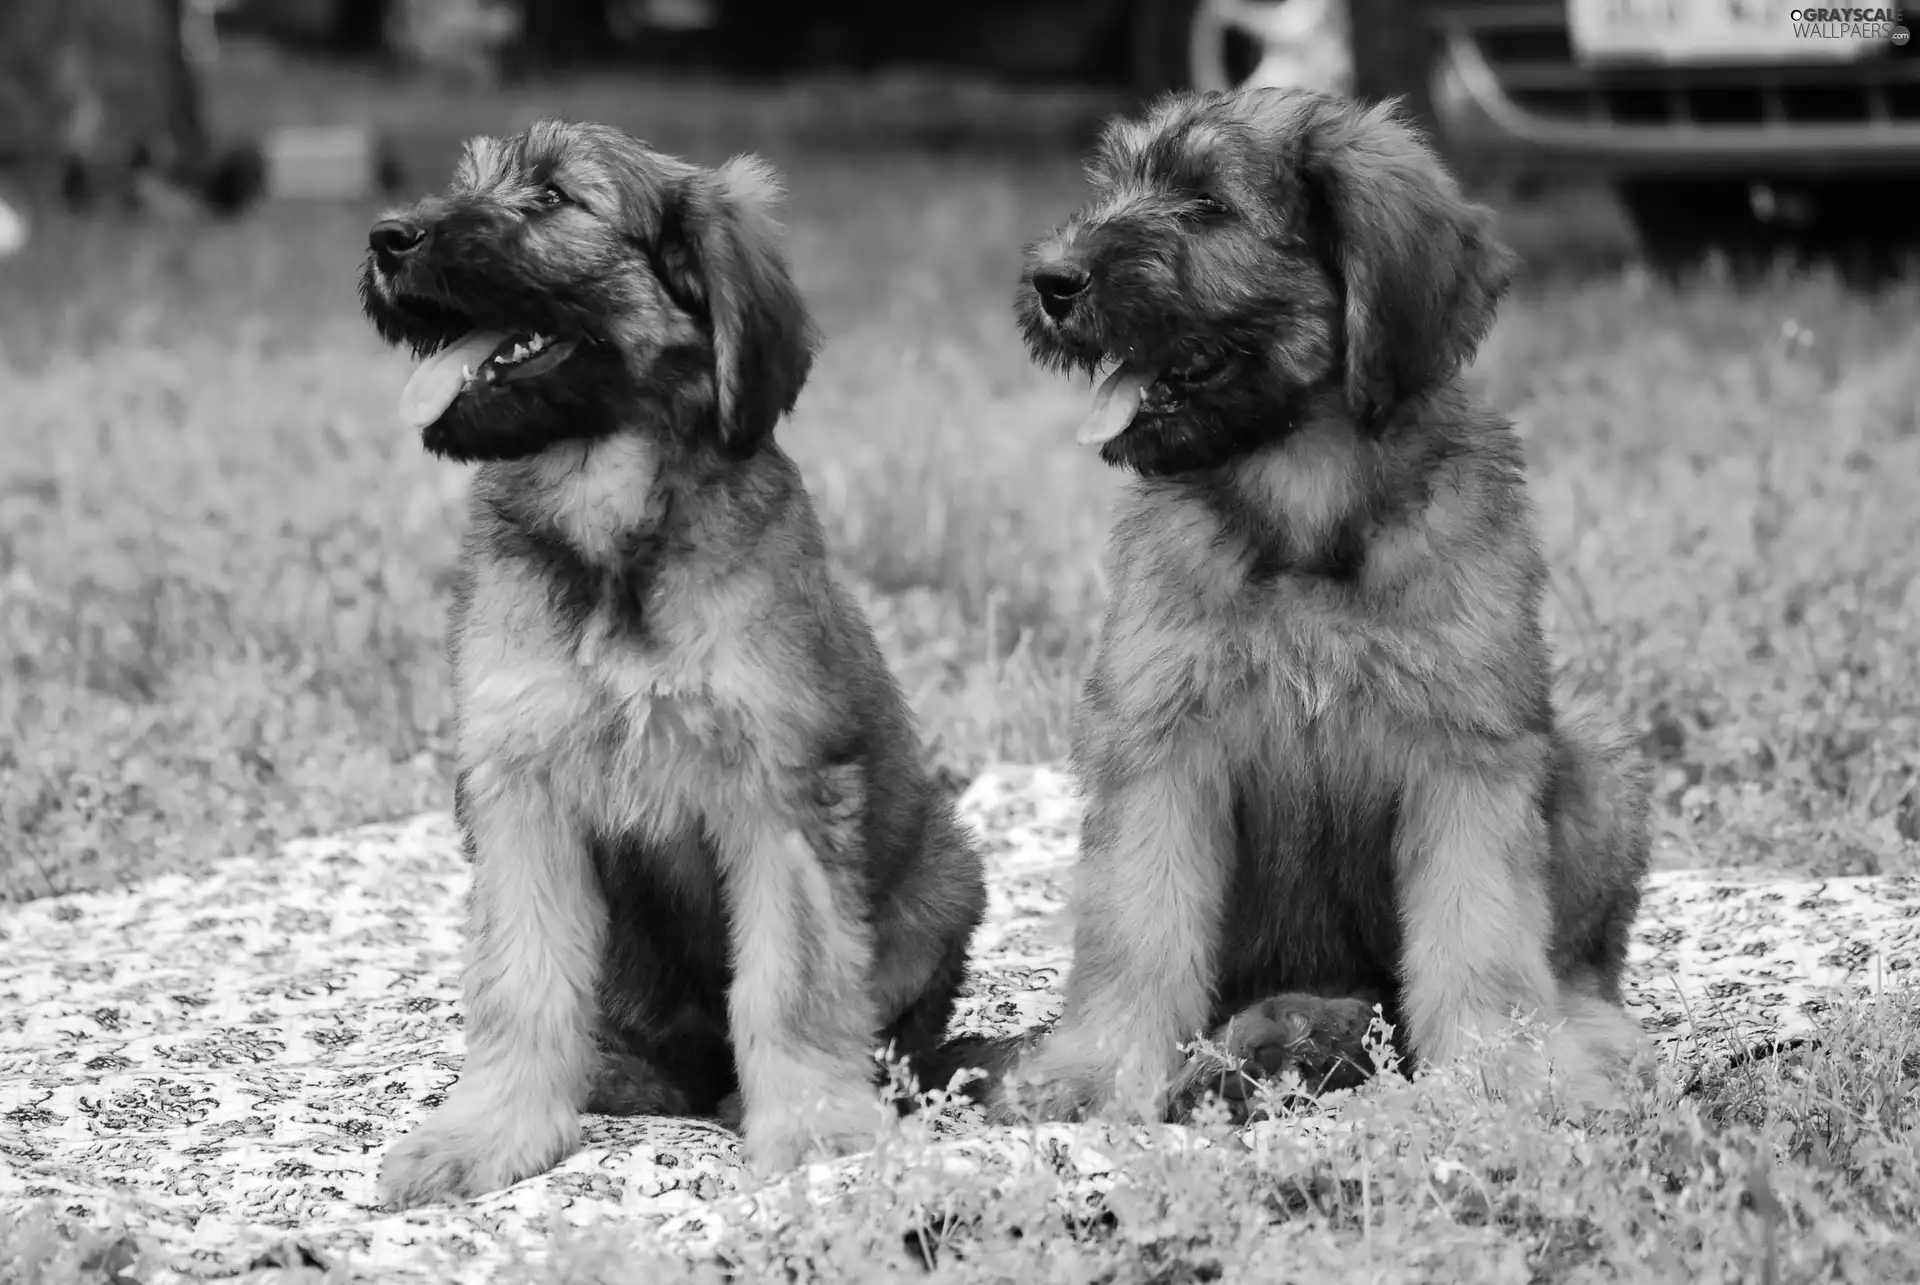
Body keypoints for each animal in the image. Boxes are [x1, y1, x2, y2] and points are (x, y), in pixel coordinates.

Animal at [357, 120, 990, 1206]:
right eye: (466, 181)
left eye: (554, 198)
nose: (387, 237)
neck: (612, 532)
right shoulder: (519, 787)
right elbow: (521, 980)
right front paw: (490, 1129)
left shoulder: (781, 790)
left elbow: (791, 980)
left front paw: (812, 1127)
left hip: (946, 876)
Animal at [990, 87, 1651, 1121]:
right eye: (1118, 185)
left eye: (1208, 205)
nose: (1051, 279)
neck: (1304, 500)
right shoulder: (1158, 743)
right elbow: (1138, 926)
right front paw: (1094, 1074)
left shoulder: (1467, 750)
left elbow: (1481, 933)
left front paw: (1504, 1071)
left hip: (1592, 749)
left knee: (1581, 965)